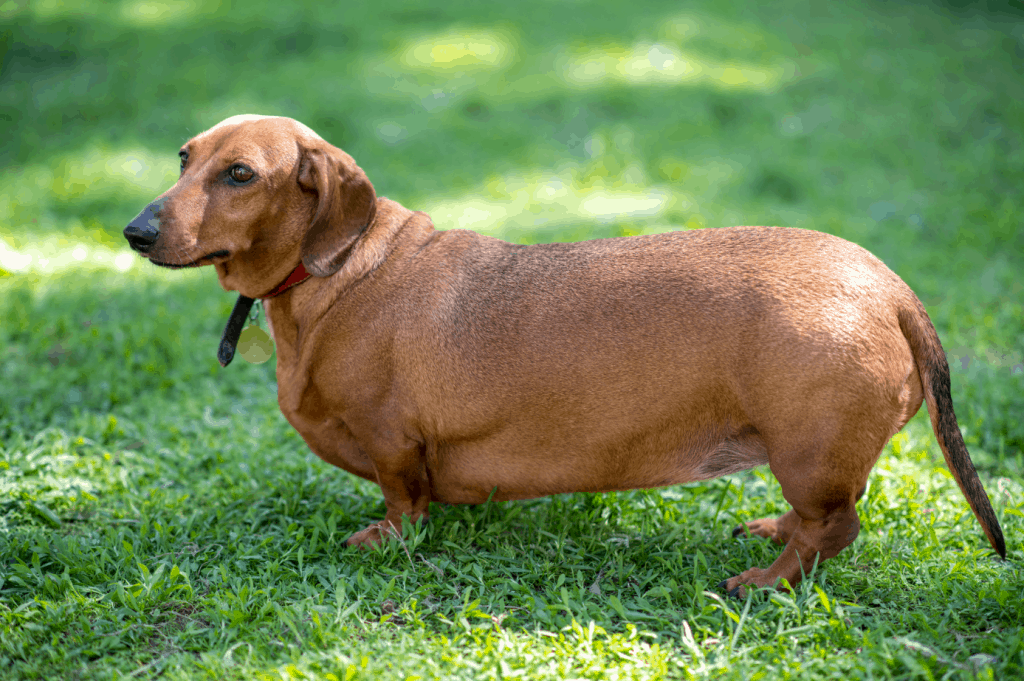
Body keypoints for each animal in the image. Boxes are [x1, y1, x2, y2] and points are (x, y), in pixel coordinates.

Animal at [123, 114, 1003, 593]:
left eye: (241, 173)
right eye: (184, 157)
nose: (134, 231)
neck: (338, 274)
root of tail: (888, 284)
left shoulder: (393, 443)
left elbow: (404, 503)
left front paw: (385, 539)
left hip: (808, 450)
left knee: (836, 527)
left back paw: (764, 581)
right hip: (807, 454)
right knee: (823, 516)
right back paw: (771, 531)